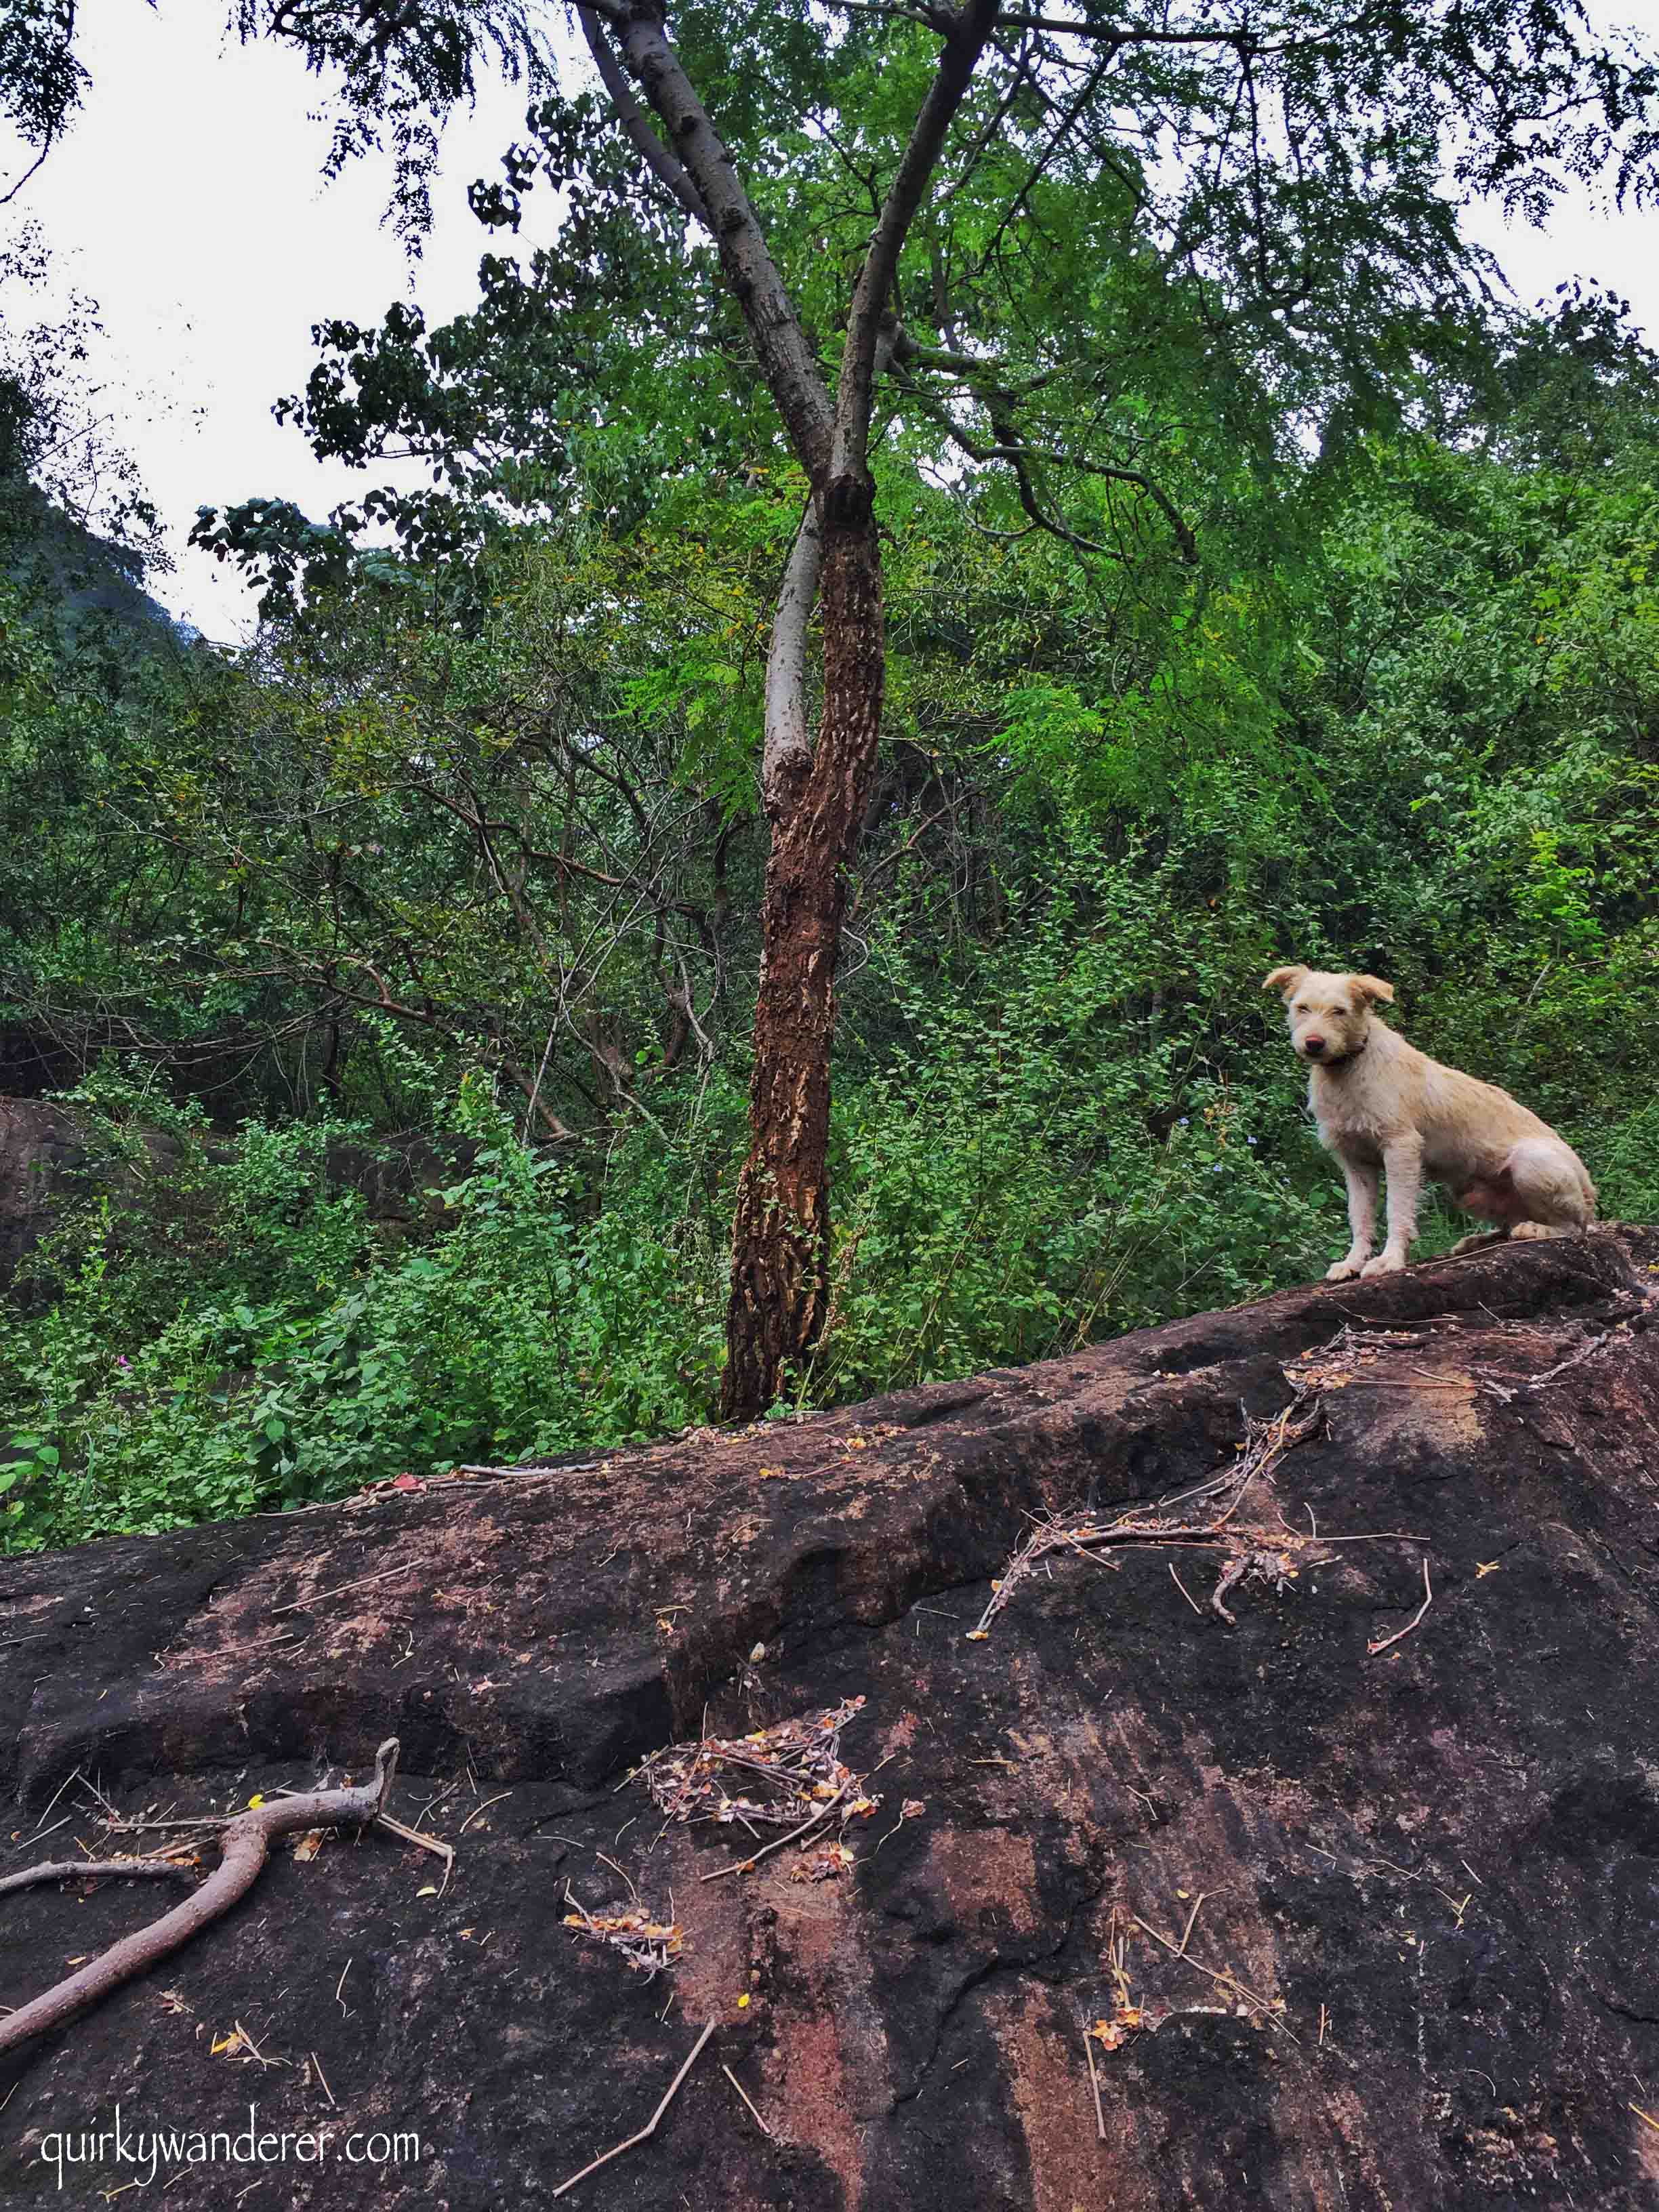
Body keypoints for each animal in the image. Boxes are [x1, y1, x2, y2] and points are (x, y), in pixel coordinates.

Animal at [1263, 965, 1596, 1280]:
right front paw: (1352, 1262)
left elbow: (1397, 1210)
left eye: (1339, 1011)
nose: (1314, 1044)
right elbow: (1359, 1217)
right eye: (1302, 1008)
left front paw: (1389, 1260)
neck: (1348, 1070)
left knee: (1574, 1227)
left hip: (1533, 1163)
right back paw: (1481, 1240)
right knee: (1510, 1223)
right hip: (1468, 1193)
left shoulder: (1401, 1148)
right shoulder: (1355, 1161)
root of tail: (1590, 1191)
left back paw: (1536, 1230)